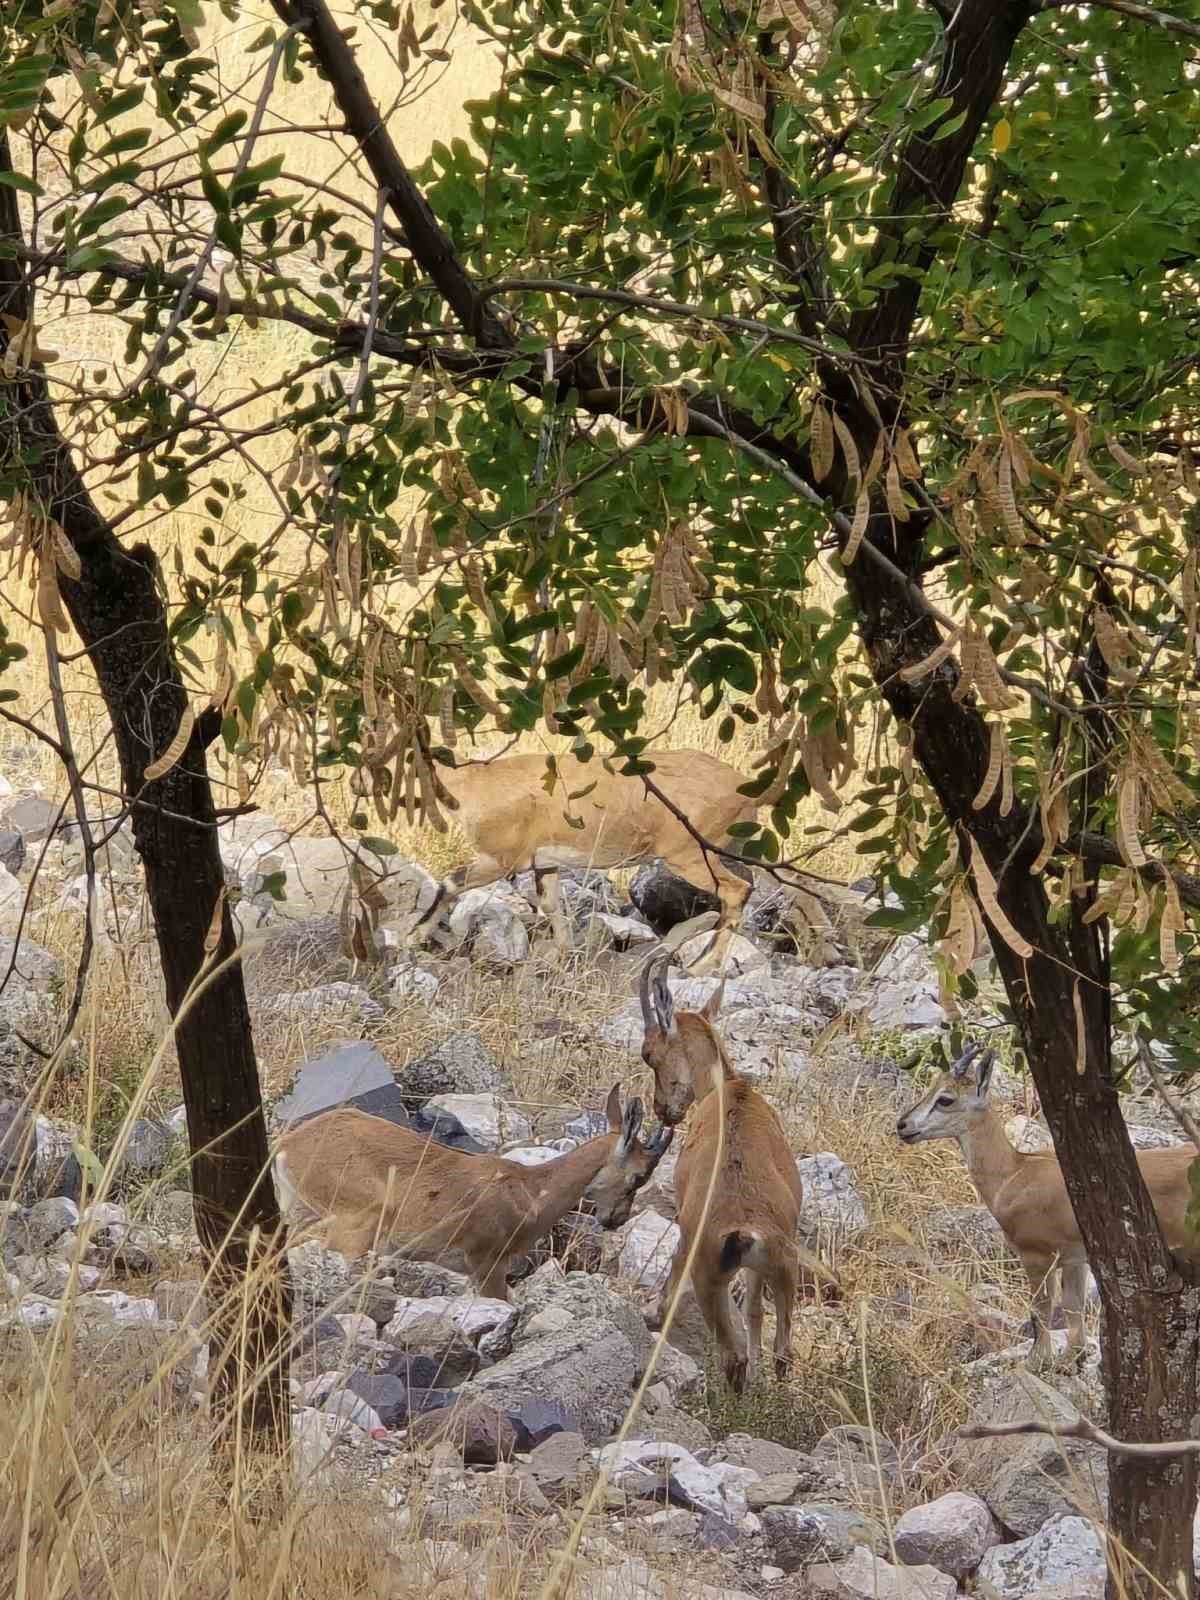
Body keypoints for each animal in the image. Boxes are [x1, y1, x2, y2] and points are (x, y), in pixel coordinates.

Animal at [280, 1088, 678, 1299]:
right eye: (640, 1176)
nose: (616, 1219)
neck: (530, 1192)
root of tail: (289, 1147)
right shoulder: (487, 1262)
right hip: (353, 1226)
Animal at [640, 953, 809, 1395]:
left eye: (648, 1053)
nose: (663, 1110)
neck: (728, 1089)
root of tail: (744, 1231)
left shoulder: (685, 1228)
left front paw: (654, 1314)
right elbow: (753, 1314)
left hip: (709, 1280)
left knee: (733, 1356)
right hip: (782, 1268)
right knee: (783, 1350)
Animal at [896, 1043, 1196, 1369]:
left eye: (946, 1099)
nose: (903, 1126)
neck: (1014, 1174)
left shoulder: (1037, 1255)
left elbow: (1040, 1310)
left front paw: (1035, 1362)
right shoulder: (1076, 1260)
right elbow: (1073, 1308)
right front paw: (1070, 1360)